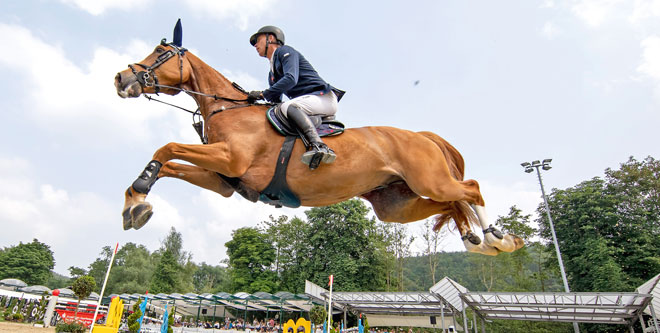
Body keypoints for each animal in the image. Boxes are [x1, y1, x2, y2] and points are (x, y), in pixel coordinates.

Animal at [114, 37, 524, 254]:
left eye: (160, 53)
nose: (120, 78)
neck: (228, 109)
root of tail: (423, 135)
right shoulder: (223, 180)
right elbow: (168, 163)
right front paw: (136, 205)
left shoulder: (230, 160)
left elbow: (166, 148)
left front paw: (139, 195)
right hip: (396, 204)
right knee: (451, 202)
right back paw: (475, 241)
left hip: (429, 180)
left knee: (471, 189)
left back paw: (497, 237)